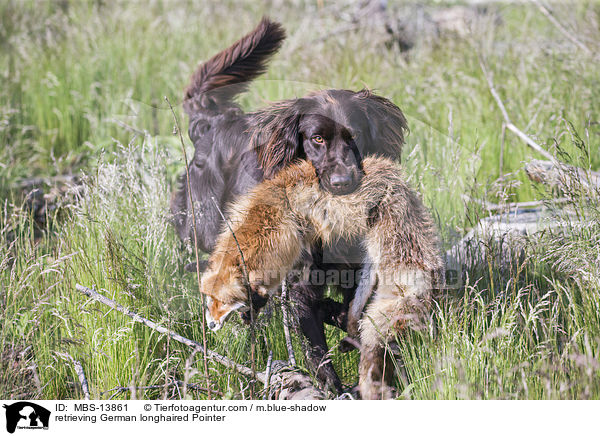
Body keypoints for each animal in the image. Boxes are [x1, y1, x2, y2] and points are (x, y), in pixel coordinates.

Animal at [171, 17, 410, 394]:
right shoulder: (301, 282)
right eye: (317, 139)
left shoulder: (352, 269)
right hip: (207, 226)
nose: (342, 182)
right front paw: (335, 389)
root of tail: (215, 124)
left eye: (355, 136)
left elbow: (353, 316)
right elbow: (315, 347)